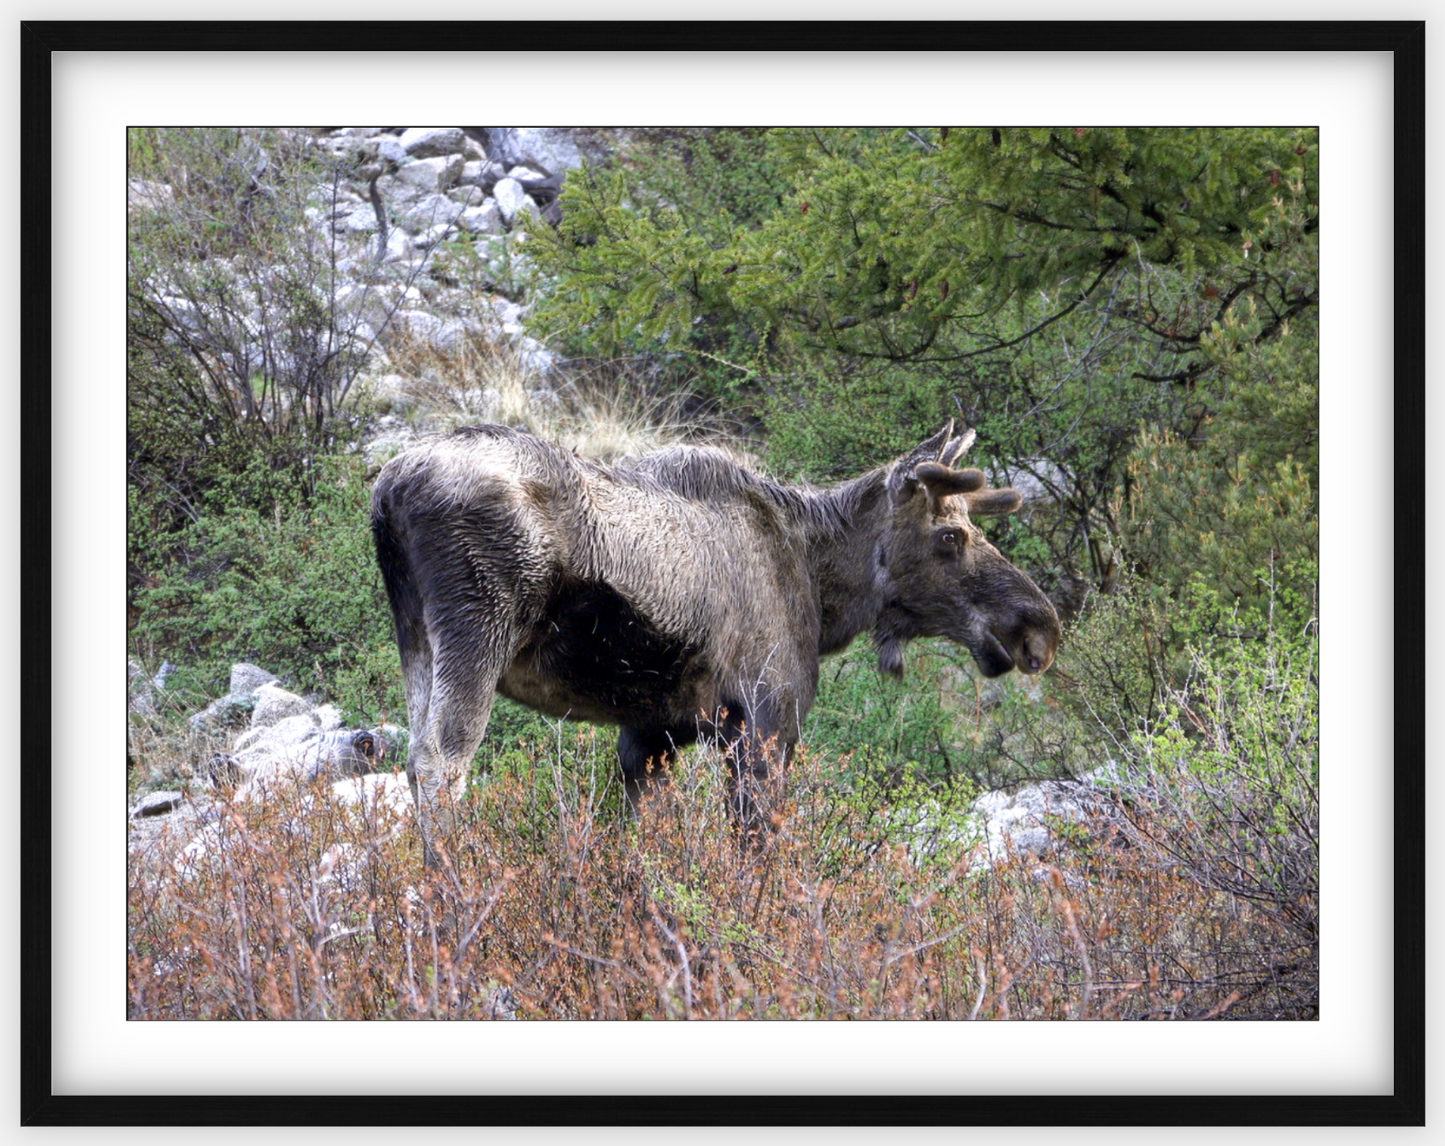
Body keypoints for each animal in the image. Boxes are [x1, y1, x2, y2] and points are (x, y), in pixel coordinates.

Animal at [372, 419, 1063, 855]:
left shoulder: (651, 733)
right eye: (951, 536)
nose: (1039, 626)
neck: (821, 587)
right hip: (478, 629)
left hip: (417, 640)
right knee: (441, 764)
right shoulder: (766, 718)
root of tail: (388, 490)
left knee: (413, 759)